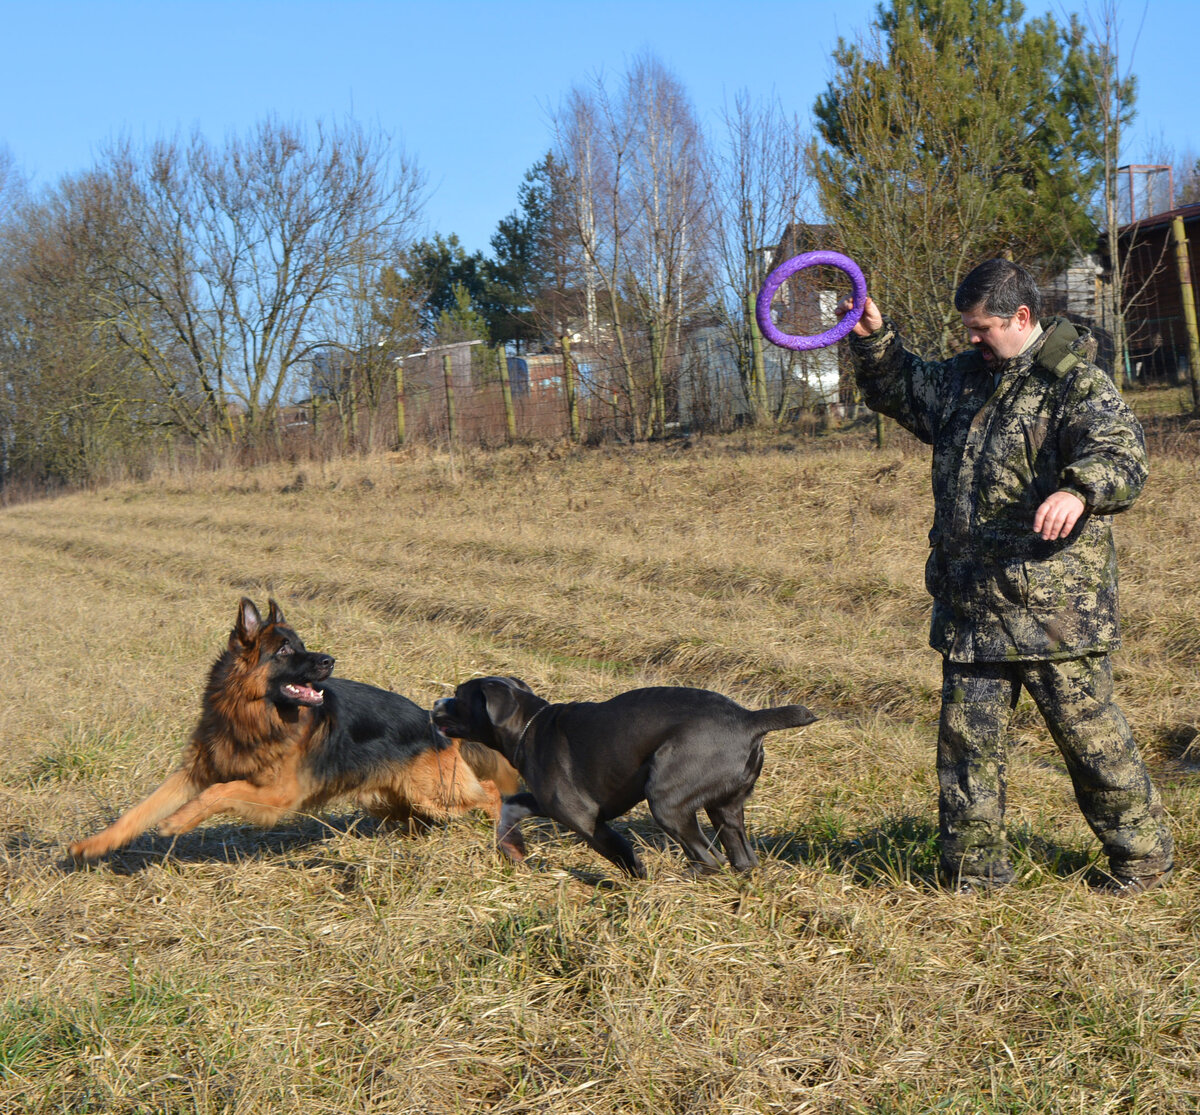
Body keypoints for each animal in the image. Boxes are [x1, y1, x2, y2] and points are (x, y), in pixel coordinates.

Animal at [65, 595, 516, 859]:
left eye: (300, 646)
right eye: (284, 651)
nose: (330, 660)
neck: (253, 716)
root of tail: (432, 721)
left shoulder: (277, 796)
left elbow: (220, 792)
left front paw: (178, 822)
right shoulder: (193, 773)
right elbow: (139, 812)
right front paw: (91, 846)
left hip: (437, 794)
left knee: (490, 792)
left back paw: (504, 834)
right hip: (387, 798)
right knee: (417, 819)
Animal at [432, 672, 816, 873]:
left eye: (459, 696)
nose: (436, 703)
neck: (529, 724)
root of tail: (750, 719)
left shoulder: (583, 817)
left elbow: (619, 852)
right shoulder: (544, 802)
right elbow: (512, 806)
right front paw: (510, 847)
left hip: (667, 801)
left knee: (710, 858)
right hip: (726, 807)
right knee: (740, 858)